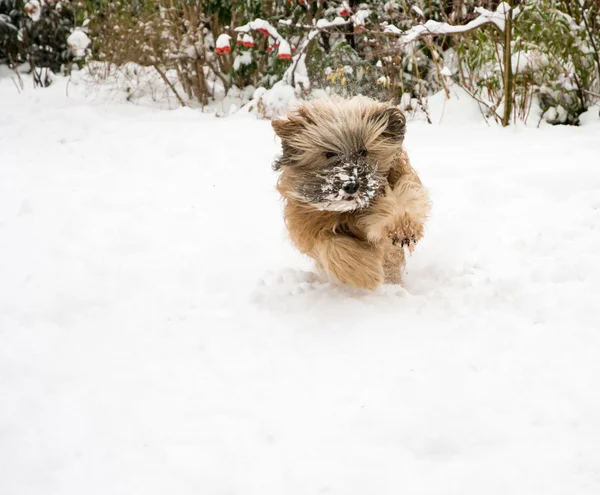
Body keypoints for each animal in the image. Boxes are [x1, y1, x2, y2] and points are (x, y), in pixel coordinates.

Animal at [272, 96, 432, 290]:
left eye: (363, 151)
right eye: (328, 153)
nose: (350, 185)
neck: (350, 211)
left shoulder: (399, 179)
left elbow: (403, 198)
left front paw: (403, 227)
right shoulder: (309, 225)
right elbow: (333, 245)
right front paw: (367, 273)